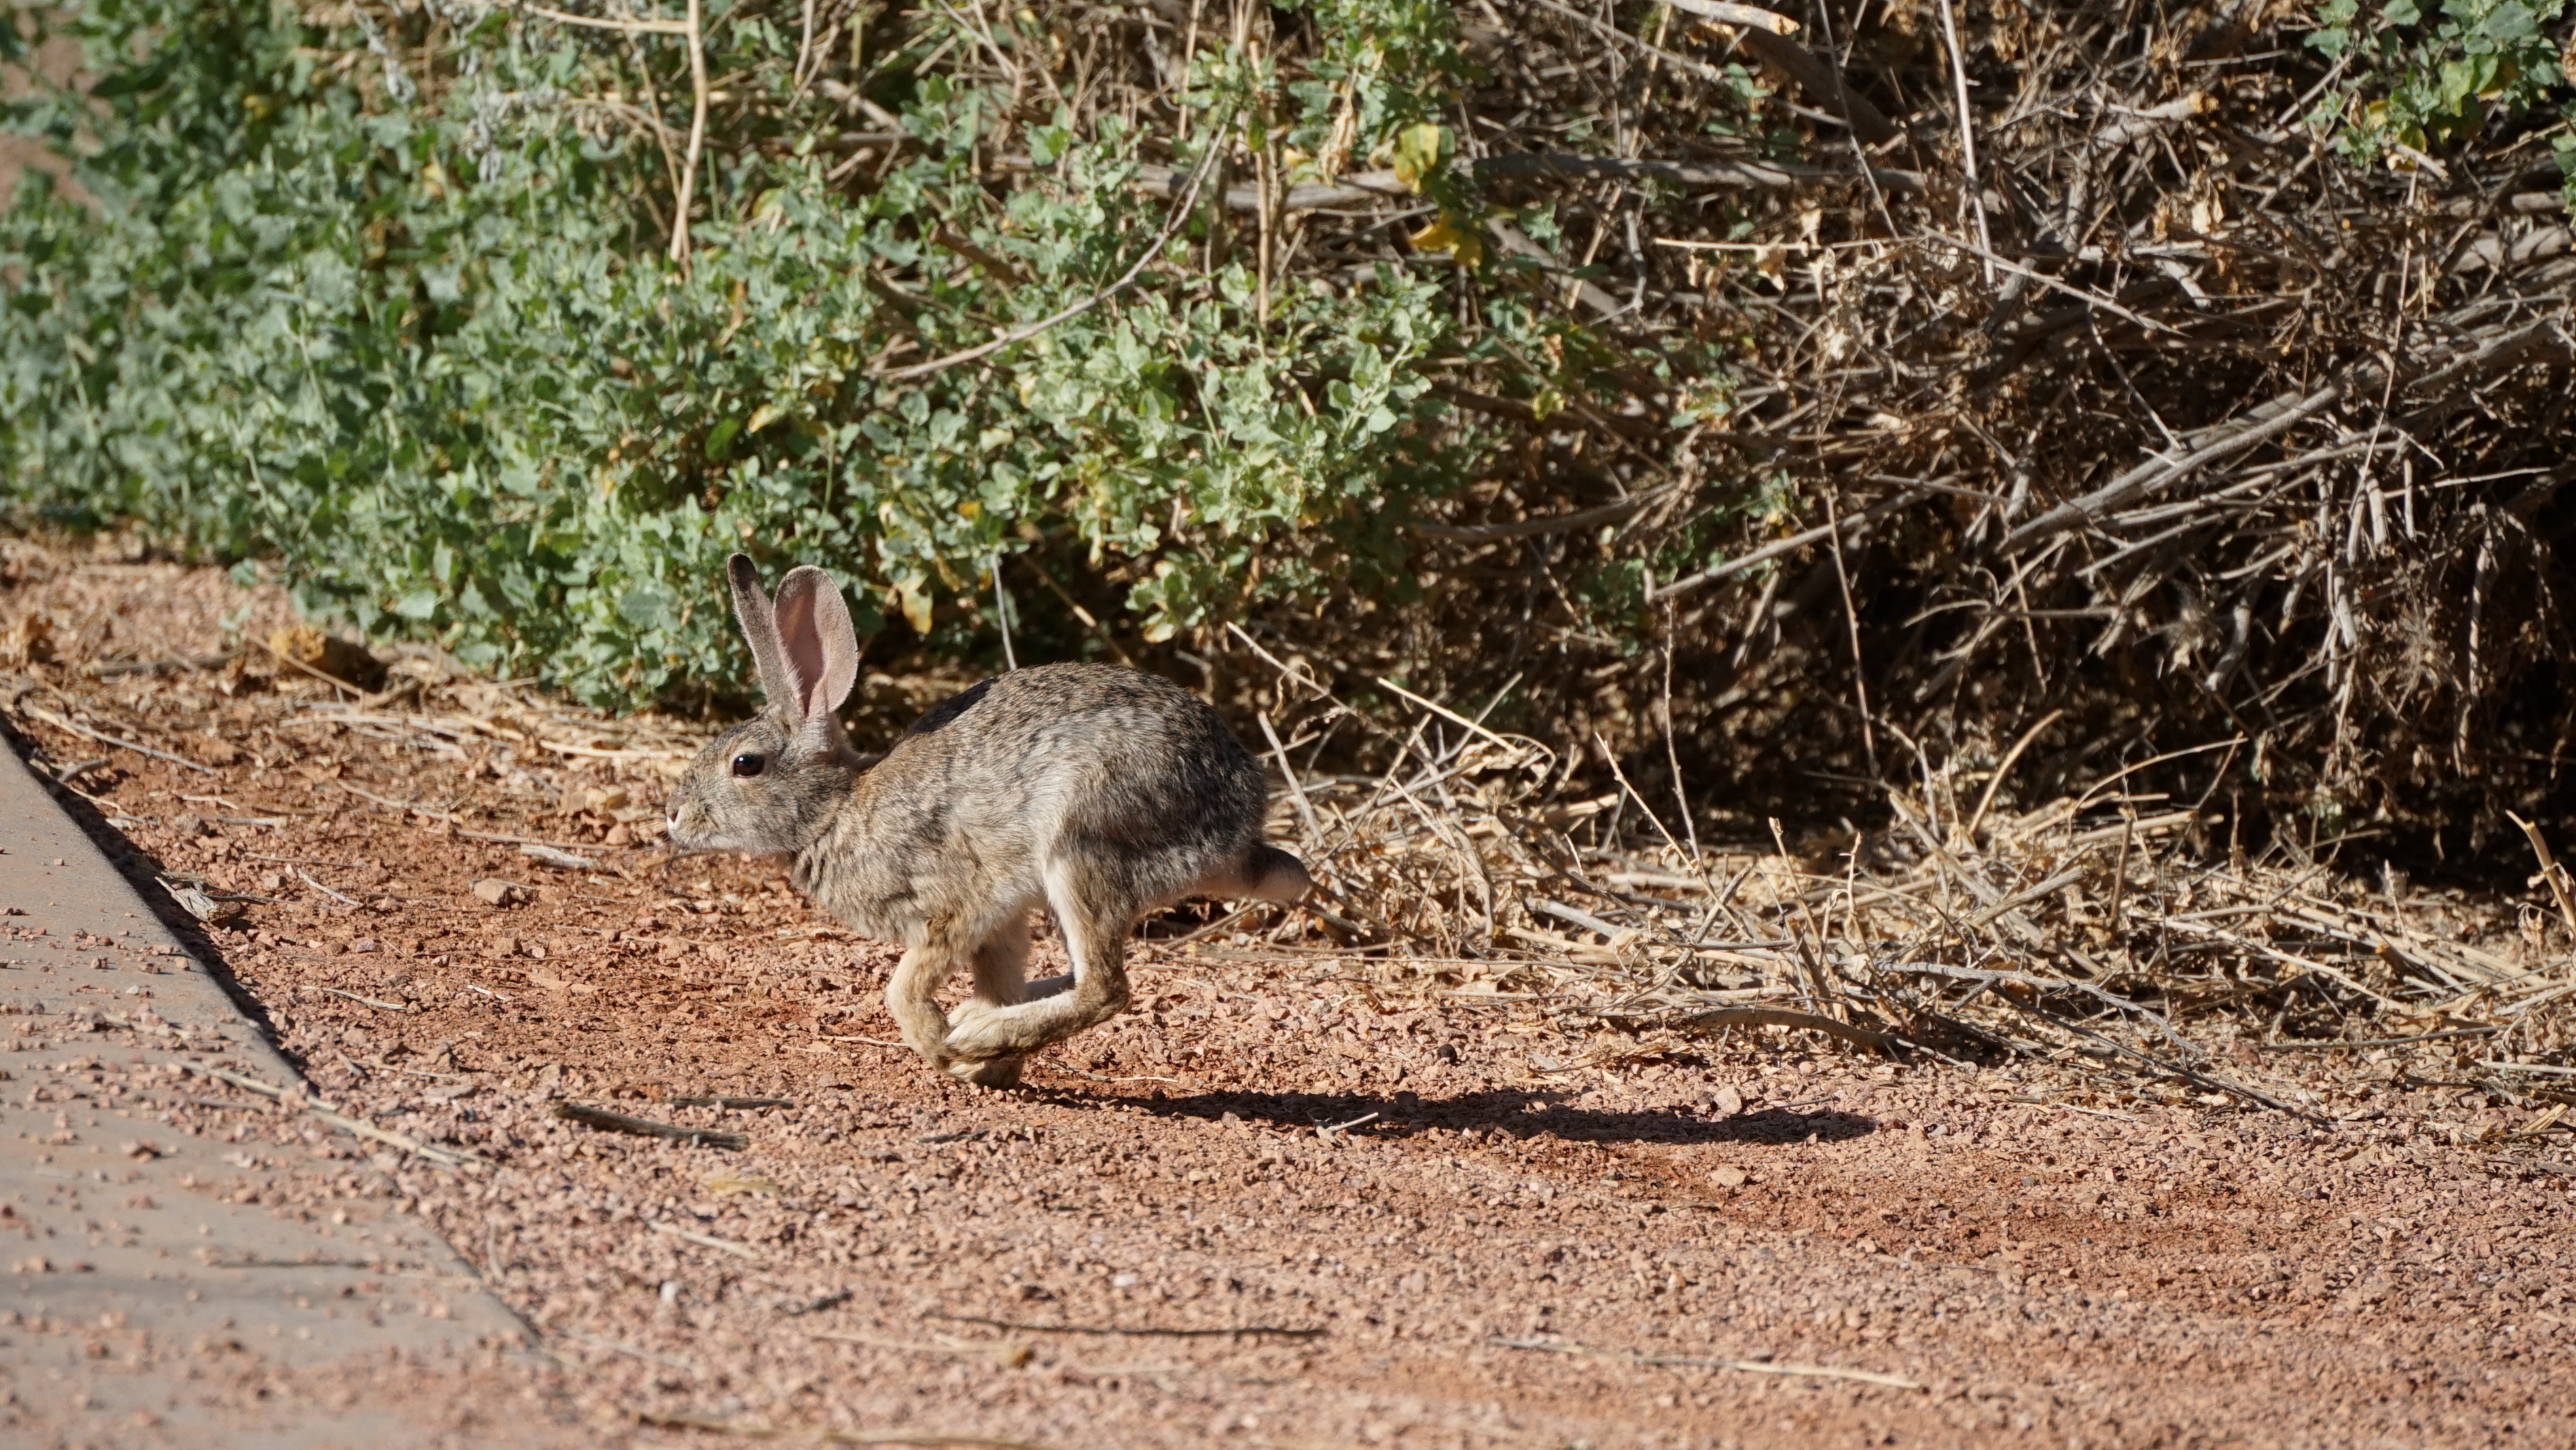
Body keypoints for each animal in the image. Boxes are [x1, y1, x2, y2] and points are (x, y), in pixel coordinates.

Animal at [664, 554, 1312, 1088]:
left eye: (745, 764)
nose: (673, 814)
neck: (835, 810)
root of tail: (1238, 829)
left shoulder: (959, 906)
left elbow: (902, 988)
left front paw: (941, 1045)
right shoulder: (1000, 926)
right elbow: (998, 973)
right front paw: (992, 1067)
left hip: (1081, 843)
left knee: (1105, 989)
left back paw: (975, 1033)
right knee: (1076, 978)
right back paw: (984, 1027)